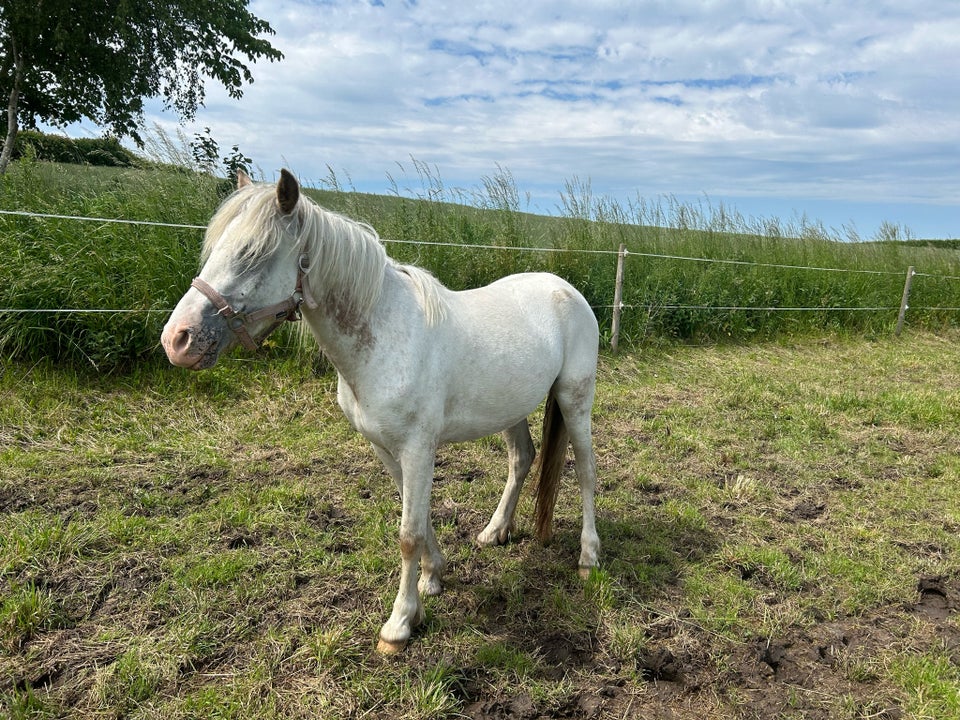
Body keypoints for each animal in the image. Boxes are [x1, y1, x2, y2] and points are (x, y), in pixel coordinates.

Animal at [163, 170, 600, 652]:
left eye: (253, 253)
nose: (177, 340)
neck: (384, 334)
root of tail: (566, 290)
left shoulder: (418, 449)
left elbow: (409, 534)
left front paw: (400, 624)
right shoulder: (385, 447)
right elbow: (418, 517)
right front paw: (432, 578)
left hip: (575, 400)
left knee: (585, 471)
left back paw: (588, 557)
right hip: (509, 408)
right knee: (522, 459)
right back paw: (494, 532)